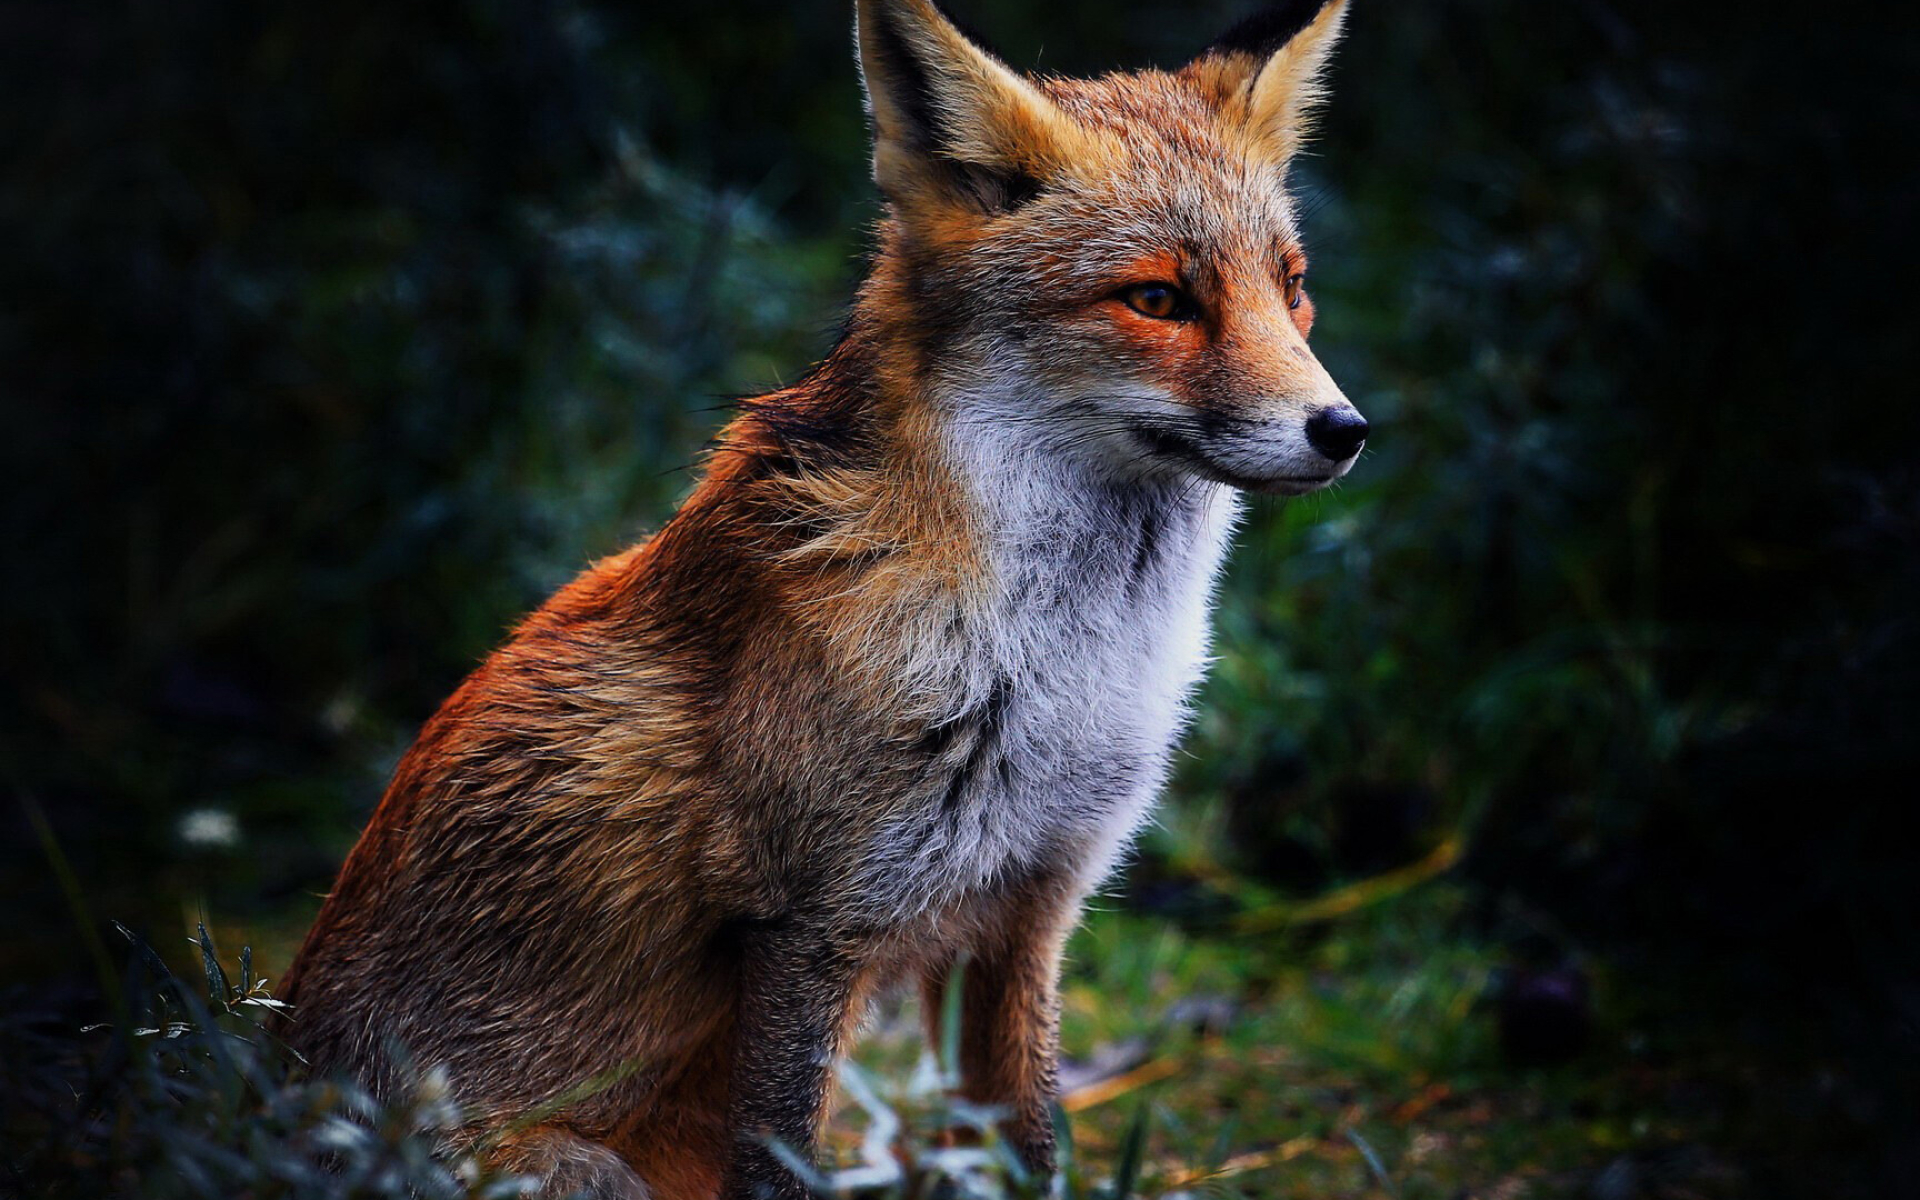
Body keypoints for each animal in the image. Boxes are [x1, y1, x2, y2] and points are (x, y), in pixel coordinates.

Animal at [276, 1, 1365, 1196]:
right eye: (1159, 299)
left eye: (1292, 285)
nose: (1343, 429)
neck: (1062, 669)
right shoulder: (811, 924)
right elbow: (782, 1154)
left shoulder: (1028, 912)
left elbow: (1029, 1140)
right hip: (577, 1166)